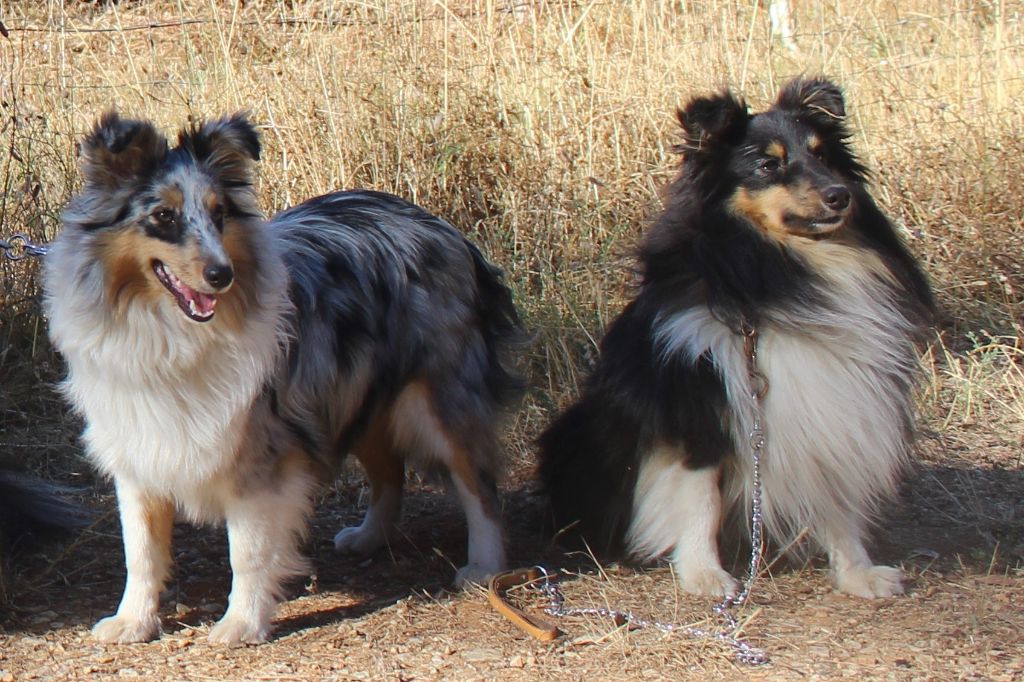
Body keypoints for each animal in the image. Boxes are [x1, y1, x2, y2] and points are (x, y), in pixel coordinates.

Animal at [44, 112, 524, 643]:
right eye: (164, 216)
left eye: (219, 214)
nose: (222, 275)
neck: (167, 329)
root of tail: (442, 227)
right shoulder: (137, 445)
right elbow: (141, 550)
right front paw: (132, 621)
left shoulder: (260, 453)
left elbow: (248, 551)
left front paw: (241, 624)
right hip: (354, 395)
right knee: (389, 471)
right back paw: (368, 537)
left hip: (437, 397)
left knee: (479, 485)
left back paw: (484, 567)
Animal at [540, 78, 933, 593]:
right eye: (768, 165)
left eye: (823, 155)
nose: (839, 196)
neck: (775, 274)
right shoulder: (697, 404)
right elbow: (700, 498)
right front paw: (705, 576)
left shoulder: (834, 399)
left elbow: (836, 495)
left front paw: (859, 574)